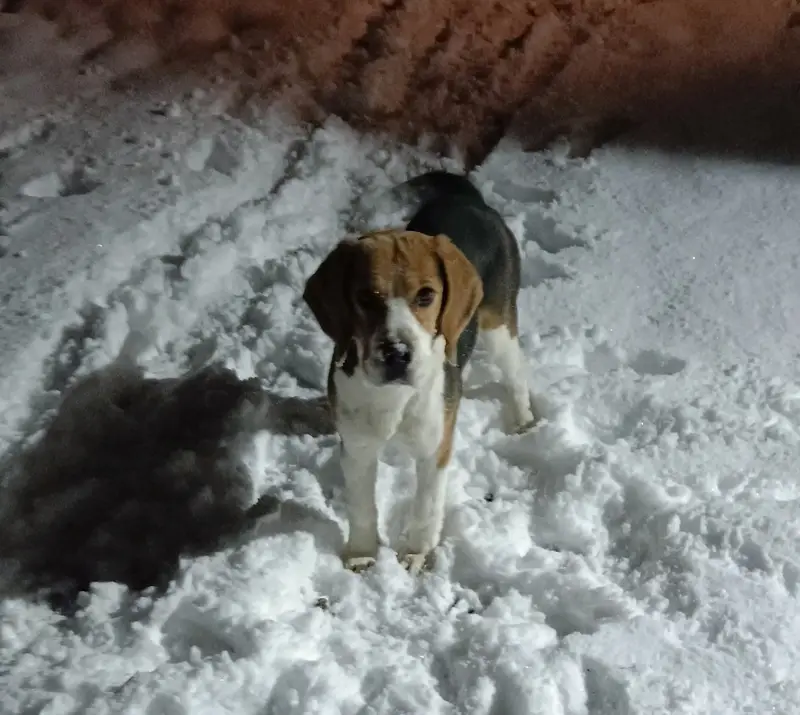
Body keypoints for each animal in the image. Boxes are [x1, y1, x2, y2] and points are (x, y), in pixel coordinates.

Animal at [303, 170, 537, 573]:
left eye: (426, 296)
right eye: (365, 298)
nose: (397, 354)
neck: (392, 396)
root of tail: (468, 199)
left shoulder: (434, 448)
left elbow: (426, 507)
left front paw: (416, 554)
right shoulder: (357, 448)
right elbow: (362, 507)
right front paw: (362, 553)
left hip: (498, 321)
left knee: (514, 371)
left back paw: (522, 419)